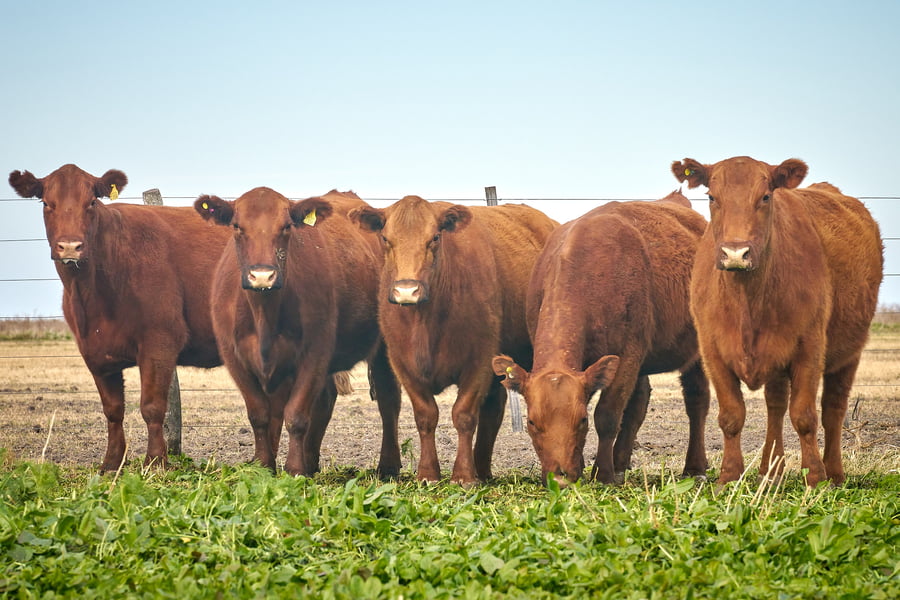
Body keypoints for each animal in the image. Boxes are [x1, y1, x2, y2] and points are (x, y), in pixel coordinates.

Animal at [8, 164, 230, 471]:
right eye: (46, 203)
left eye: (91, 202)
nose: (70, 247)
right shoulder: (94, 351)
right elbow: (113, 410)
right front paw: (111, 463)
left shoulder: (159, 342)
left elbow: (152, 407)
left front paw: (155, 463)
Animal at [194, 188, 402, 477]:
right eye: (237, 226)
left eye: (287, 226)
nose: (262, 276)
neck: (264, 314)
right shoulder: (235, 358)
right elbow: (260, 414)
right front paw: (263, 465)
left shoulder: (313, 353)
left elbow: (296, 414)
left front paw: (294, 469)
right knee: (324, 400)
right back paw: (311, 461)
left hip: (383, 346)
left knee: (387, 397)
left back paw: (388, 466)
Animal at [350, 196, 557, 484]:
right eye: (385, 238)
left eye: (435, 237)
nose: (406, 290)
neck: (426, 323)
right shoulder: (403, 364)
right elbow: (425, 415)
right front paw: (427, 474)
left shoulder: (479, 361)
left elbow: (464, 415)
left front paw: (463, 476)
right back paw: (483, 469)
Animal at [492, 191, 710, 486]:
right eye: (531, 423)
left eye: (582, 420)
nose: (560, 478)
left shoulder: (627, 354)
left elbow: (607, 414)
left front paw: (602, 473)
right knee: (639, 402)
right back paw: (621, 462)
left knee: (697, 400)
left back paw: (694, 467)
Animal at [672, 156, 883, 486]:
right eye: (711, 197)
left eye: (765, 197)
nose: (736, 253)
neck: (747, 303)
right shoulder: (712, 351)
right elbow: (731, 415)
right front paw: (728, 478)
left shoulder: (810, 348)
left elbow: (804, 416)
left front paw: (815, 478)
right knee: (776, 405)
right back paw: (770, 472)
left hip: (850, 353)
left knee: (833, 409)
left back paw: (834, 474)